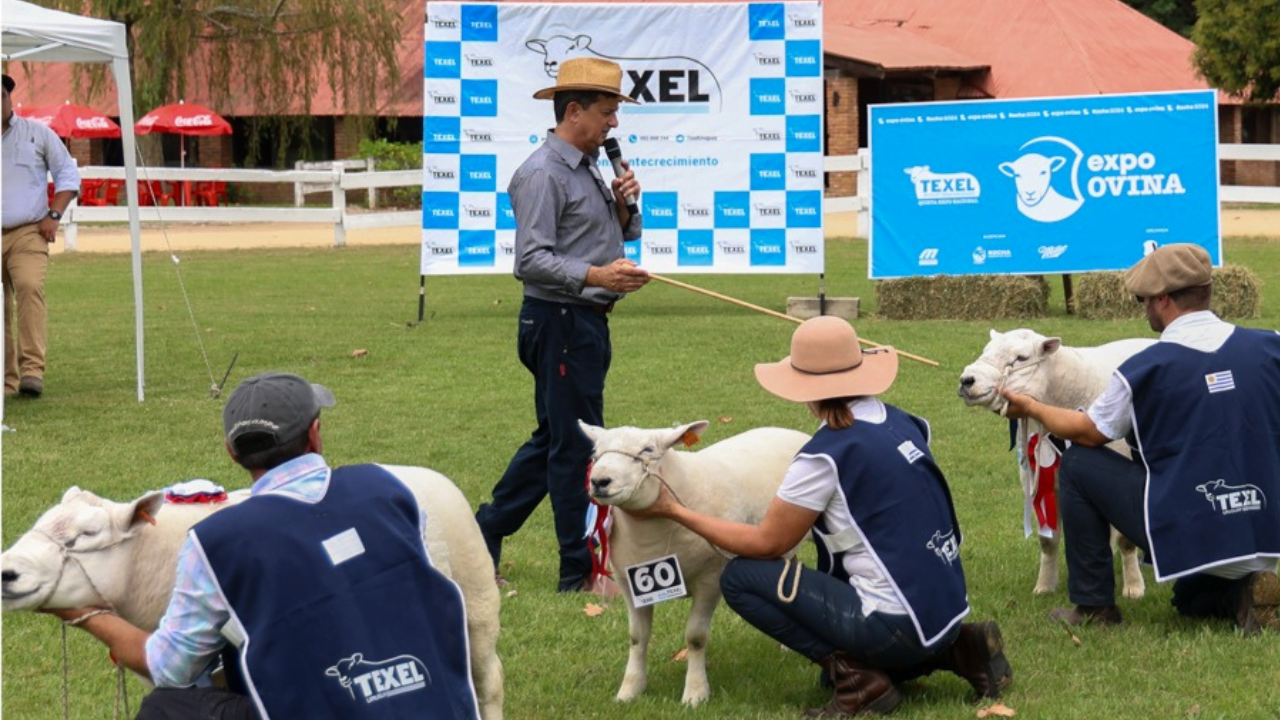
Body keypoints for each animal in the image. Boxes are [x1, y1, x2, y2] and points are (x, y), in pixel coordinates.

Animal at [581, 417, 808, 702]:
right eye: (595, 453)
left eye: (647, 450)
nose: (599, 481)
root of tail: (784, 430)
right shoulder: (628, 583)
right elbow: (637, 637)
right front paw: (630, 690)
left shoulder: (710, 580)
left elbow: (696, 637)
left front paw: (695, 692)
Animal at [957, 327, 1157, 597]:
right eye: (985, 351)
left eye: (1021, 358)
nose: (967, 380)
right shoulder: (1039, 479)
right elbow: (1048, 540)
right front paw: (1045, 586)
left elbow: (1126, 540)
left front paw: (1134, 587)